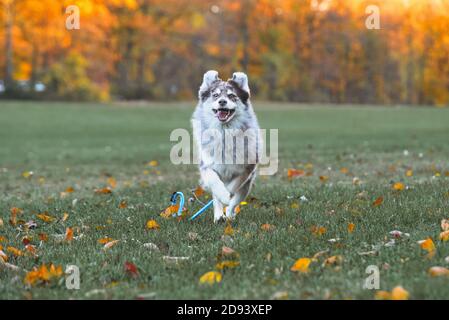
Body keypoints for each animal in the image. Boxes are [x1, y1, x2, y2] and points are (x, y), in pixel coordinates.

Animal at [191, 70, 260, 222]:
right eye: (215, 95)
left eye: (231, 96)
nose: (222, 101)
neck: (224, 131)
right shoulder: (207, 166)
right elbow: (215, 183)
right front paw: (223, 197)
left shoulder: (247, 169)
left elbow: (234, 187)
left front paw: (227, 196)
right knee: (216, 198)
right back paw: (219, 217)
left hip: (247, 186)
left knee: (235, 202)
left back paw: (229, 214)